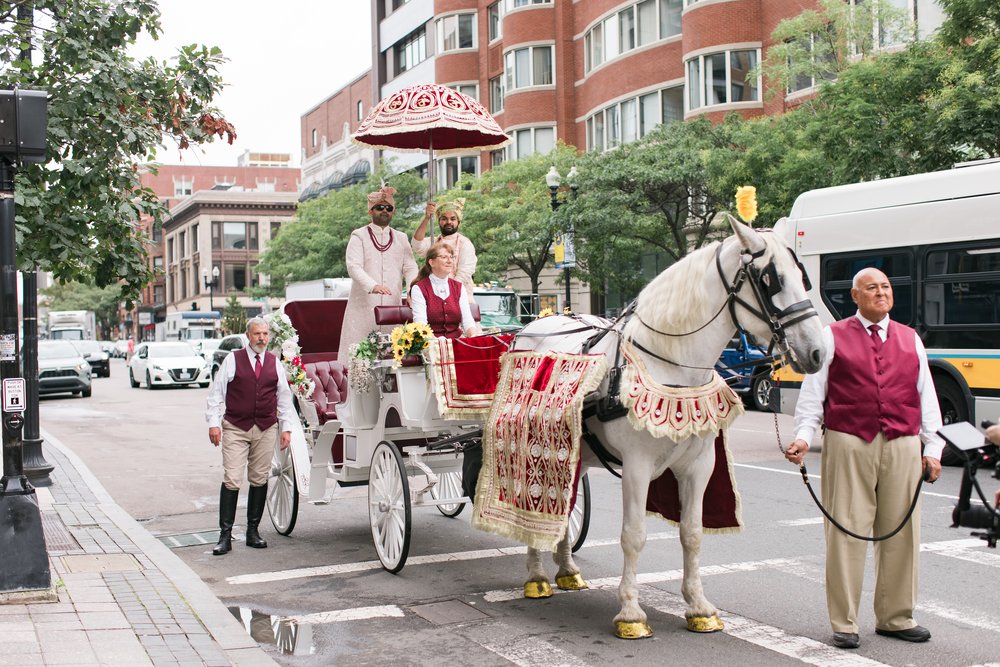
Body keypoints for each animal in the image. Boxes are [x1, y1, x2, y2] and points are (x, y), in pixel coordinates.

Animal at [512, 217, 824, 640]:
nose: (817, 352)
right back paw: (536, 576)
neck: (671, 366)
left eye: (802, 275)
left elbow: (692, 534)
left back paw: (567, 570)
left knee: (566, 500)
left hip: (574, 451)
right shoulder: (637, 466)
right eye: (769, 279)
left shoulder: (699, 465)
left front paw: (699, 607)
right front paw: (631, 612)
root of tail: (535, 325)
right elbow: (633, 536)